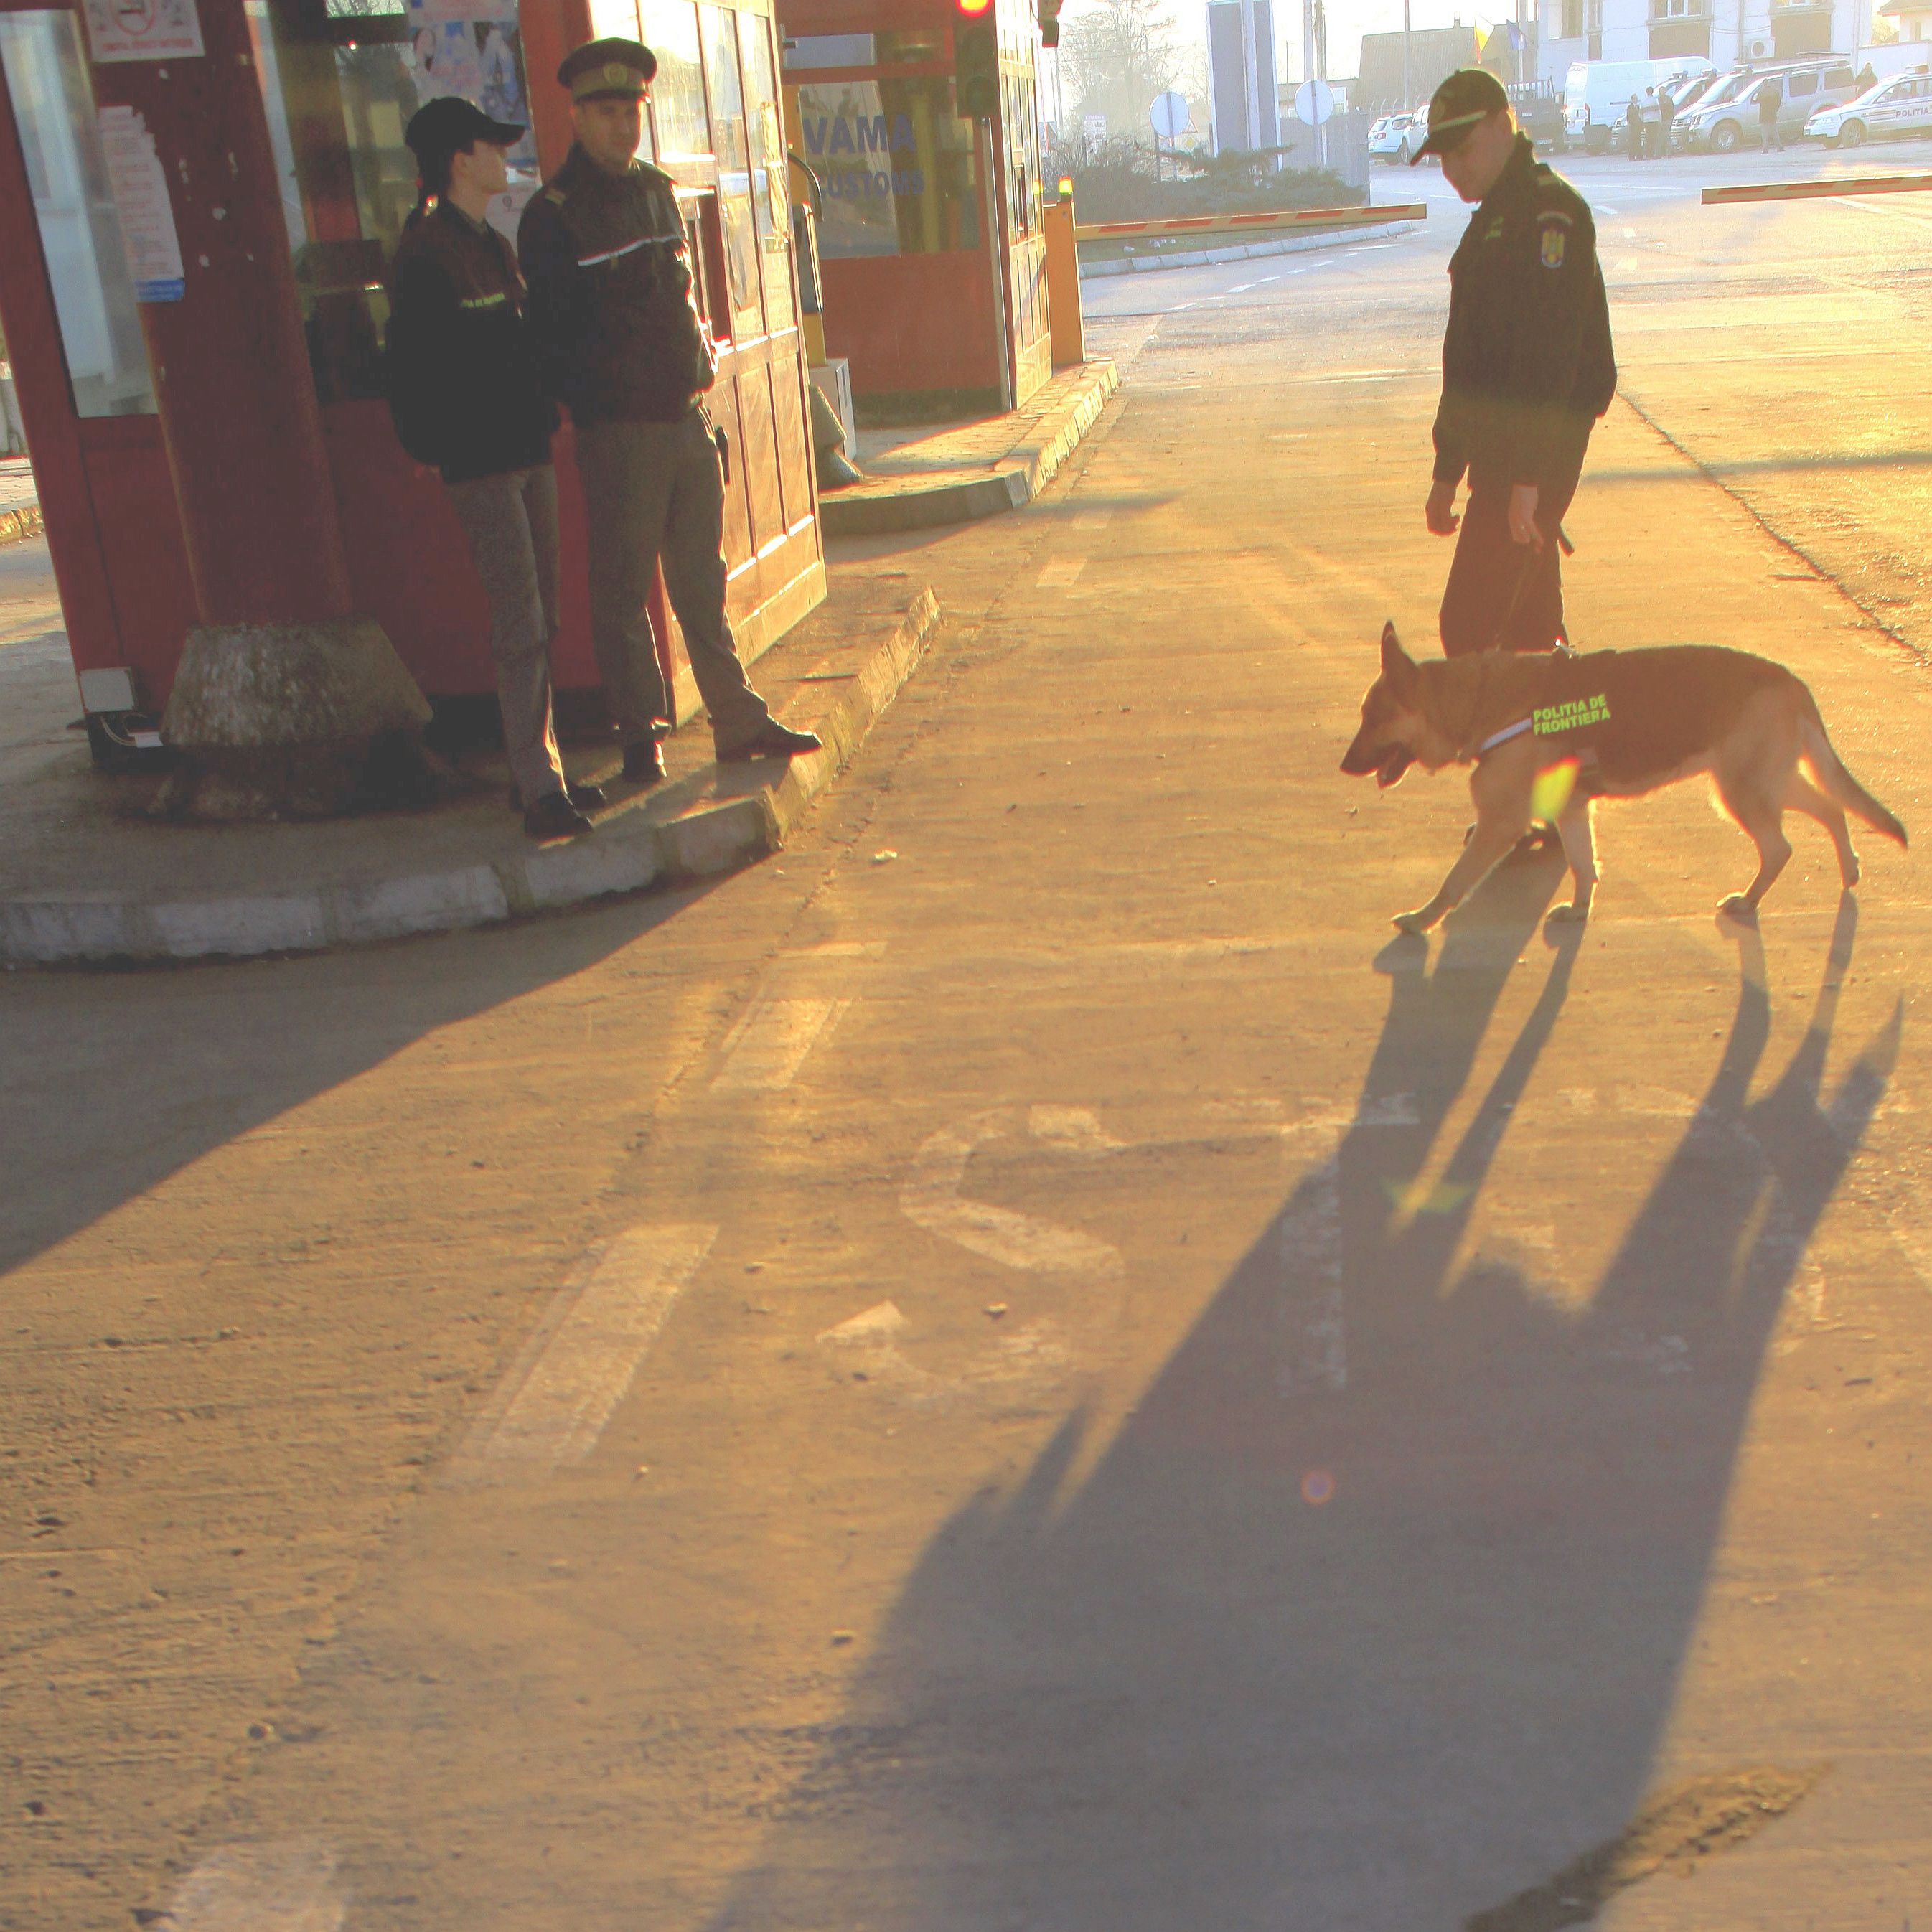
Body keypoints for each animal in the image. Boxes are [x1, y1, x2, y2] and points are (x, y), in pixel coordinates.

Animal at [1336, 626, 1908, 934]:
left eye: (1370, 717)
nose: (1343, 766)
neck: (1478, 701)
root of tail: (1790, 680)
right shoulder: (1571, 812)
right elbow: (1582, 865)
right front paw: (1580, 910)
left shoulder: (1500, 825)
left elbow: (1454, 881)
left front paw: (1421, 919)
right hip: (1763, 781)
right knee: (1831, 807)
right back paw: (1848, 868)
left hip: (1741, 790)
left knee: (1781, 846)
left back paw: (1750, 900)